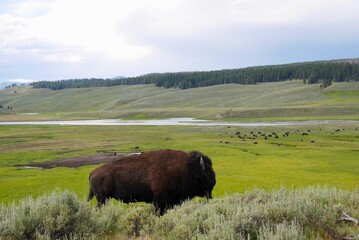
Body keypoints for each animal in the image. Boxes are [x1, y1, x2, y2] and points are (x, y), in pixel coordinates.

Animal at [87, 150, 217, 214]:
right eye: (208, 173)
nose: (214, 181)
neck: (187, 169)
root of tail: (93, 173)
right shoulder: (160, 202)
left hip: (102, 199)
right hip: (103, 199)